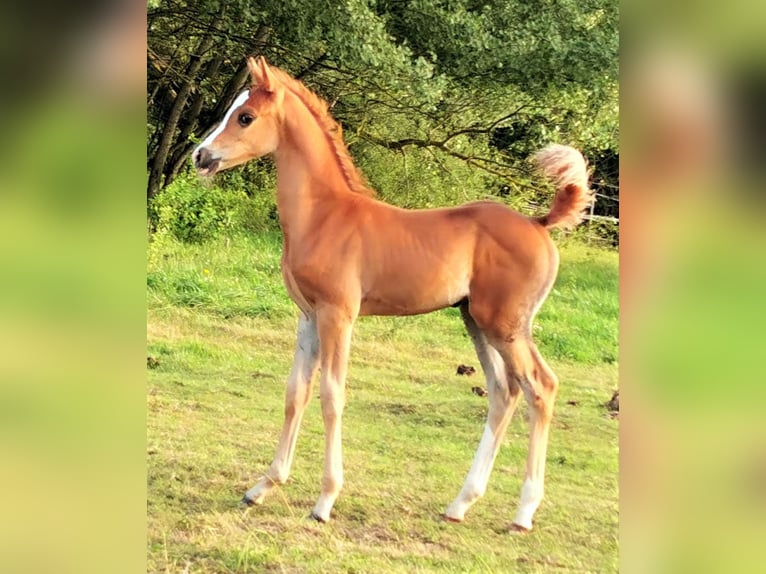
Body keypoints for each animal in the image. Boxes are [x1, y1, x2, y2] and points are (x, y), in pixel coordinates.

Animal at [195, 57, 596, 532]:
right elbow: (296, 393)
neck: (325, 216)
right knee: (503, 392)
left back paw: (523, 512)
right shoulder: (308, 316)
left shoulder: (338, 315)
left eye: (245, 116)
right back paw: (459, 504)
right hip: (476, 320)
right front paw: (261, 487)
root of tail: (539, 223)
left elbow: (332, 395)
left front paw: (324, 501)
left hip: (506, 324)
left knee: (540, 387)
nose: (201, 156)